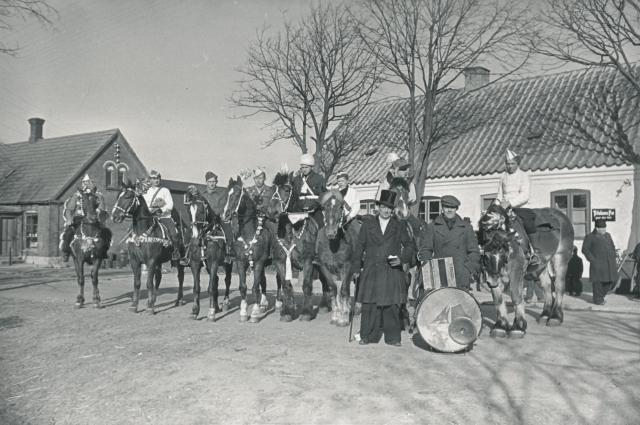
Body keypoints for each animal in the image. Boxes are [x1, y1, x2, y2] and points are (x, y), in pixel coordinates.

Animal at [111, 180, 186, 314]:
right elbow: (137, 283)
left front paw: (150, 308)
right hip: (159, 262)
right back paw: (153, 301)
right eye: (118, 196)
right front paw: (134, 305)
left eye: (128, 197)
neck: (143, 231)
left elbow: (149, 283)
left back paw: (179, 300)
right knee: (159, 278)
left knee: (180, 278)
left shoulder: (150, 261)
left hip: (178, 261)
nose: (115, 216)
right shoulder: (135, 261)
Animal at [221, 176, 272, 322]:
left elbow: (255, 288)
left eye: (237, 195)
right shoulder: (240, 262)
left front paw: (254, 313)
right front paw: (244, 313)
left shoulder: (259, 262)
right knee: (263, 282)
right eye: (226, 195)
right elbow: (243, 287)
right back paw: (263, 304)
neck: (249, 234)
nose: (224, 215)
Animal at [316, 190, 360, 326]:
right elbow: (333, 289)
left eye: (341, 207)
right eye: (324, 208)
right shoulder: (324, 267)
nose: (331, 232)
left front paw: (344, 318)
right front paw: (335, 316)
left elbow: (344, 290)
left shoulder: (348, 267)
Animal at [476, 204, 576, 336]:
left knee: (559, 286)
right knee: (547, 286)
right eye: (485, 254)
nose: (492, 281)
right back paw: (545, 315)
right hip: (541, 266)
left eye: (503, 252)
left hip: (561, 258)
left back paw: (555, 317)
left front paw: (519, 326)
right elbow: (497, 299)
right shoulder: (493, 274)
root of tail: (561, 216)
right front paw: (500, 326)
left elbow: (516, 296)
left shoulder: (516, 271)